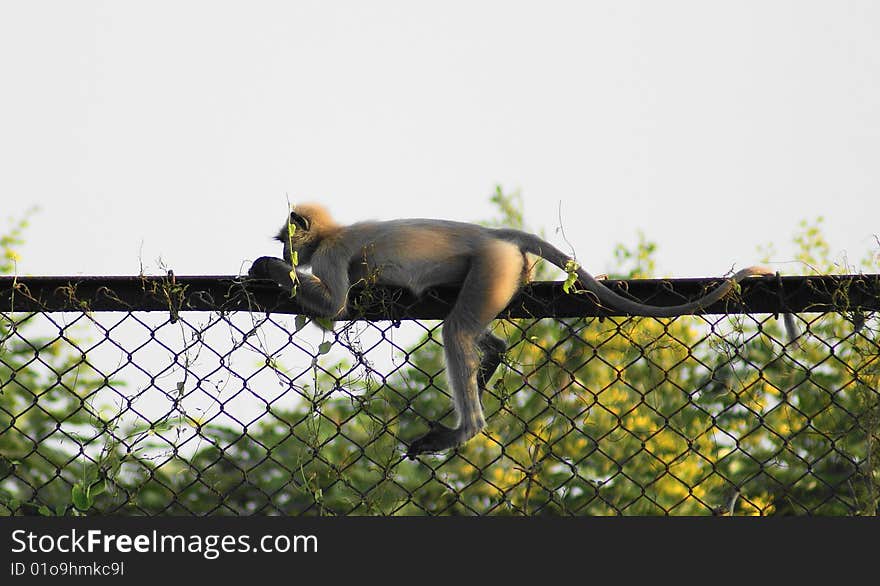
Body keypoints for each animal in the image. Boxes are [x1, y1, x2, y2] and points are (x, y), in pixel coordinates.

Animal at [249, 203, 796, 458]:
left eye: (285, 243)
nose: (284, 253)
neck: (331, 234)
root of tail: (491, 235)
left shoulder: (331, 253)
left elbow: (336, 306)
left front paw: (270, 270)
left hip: (493, 265)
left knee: (456, 332)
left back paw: (466, 427)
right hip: (504, 272)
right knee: (475, 332)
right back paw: (491, 358)